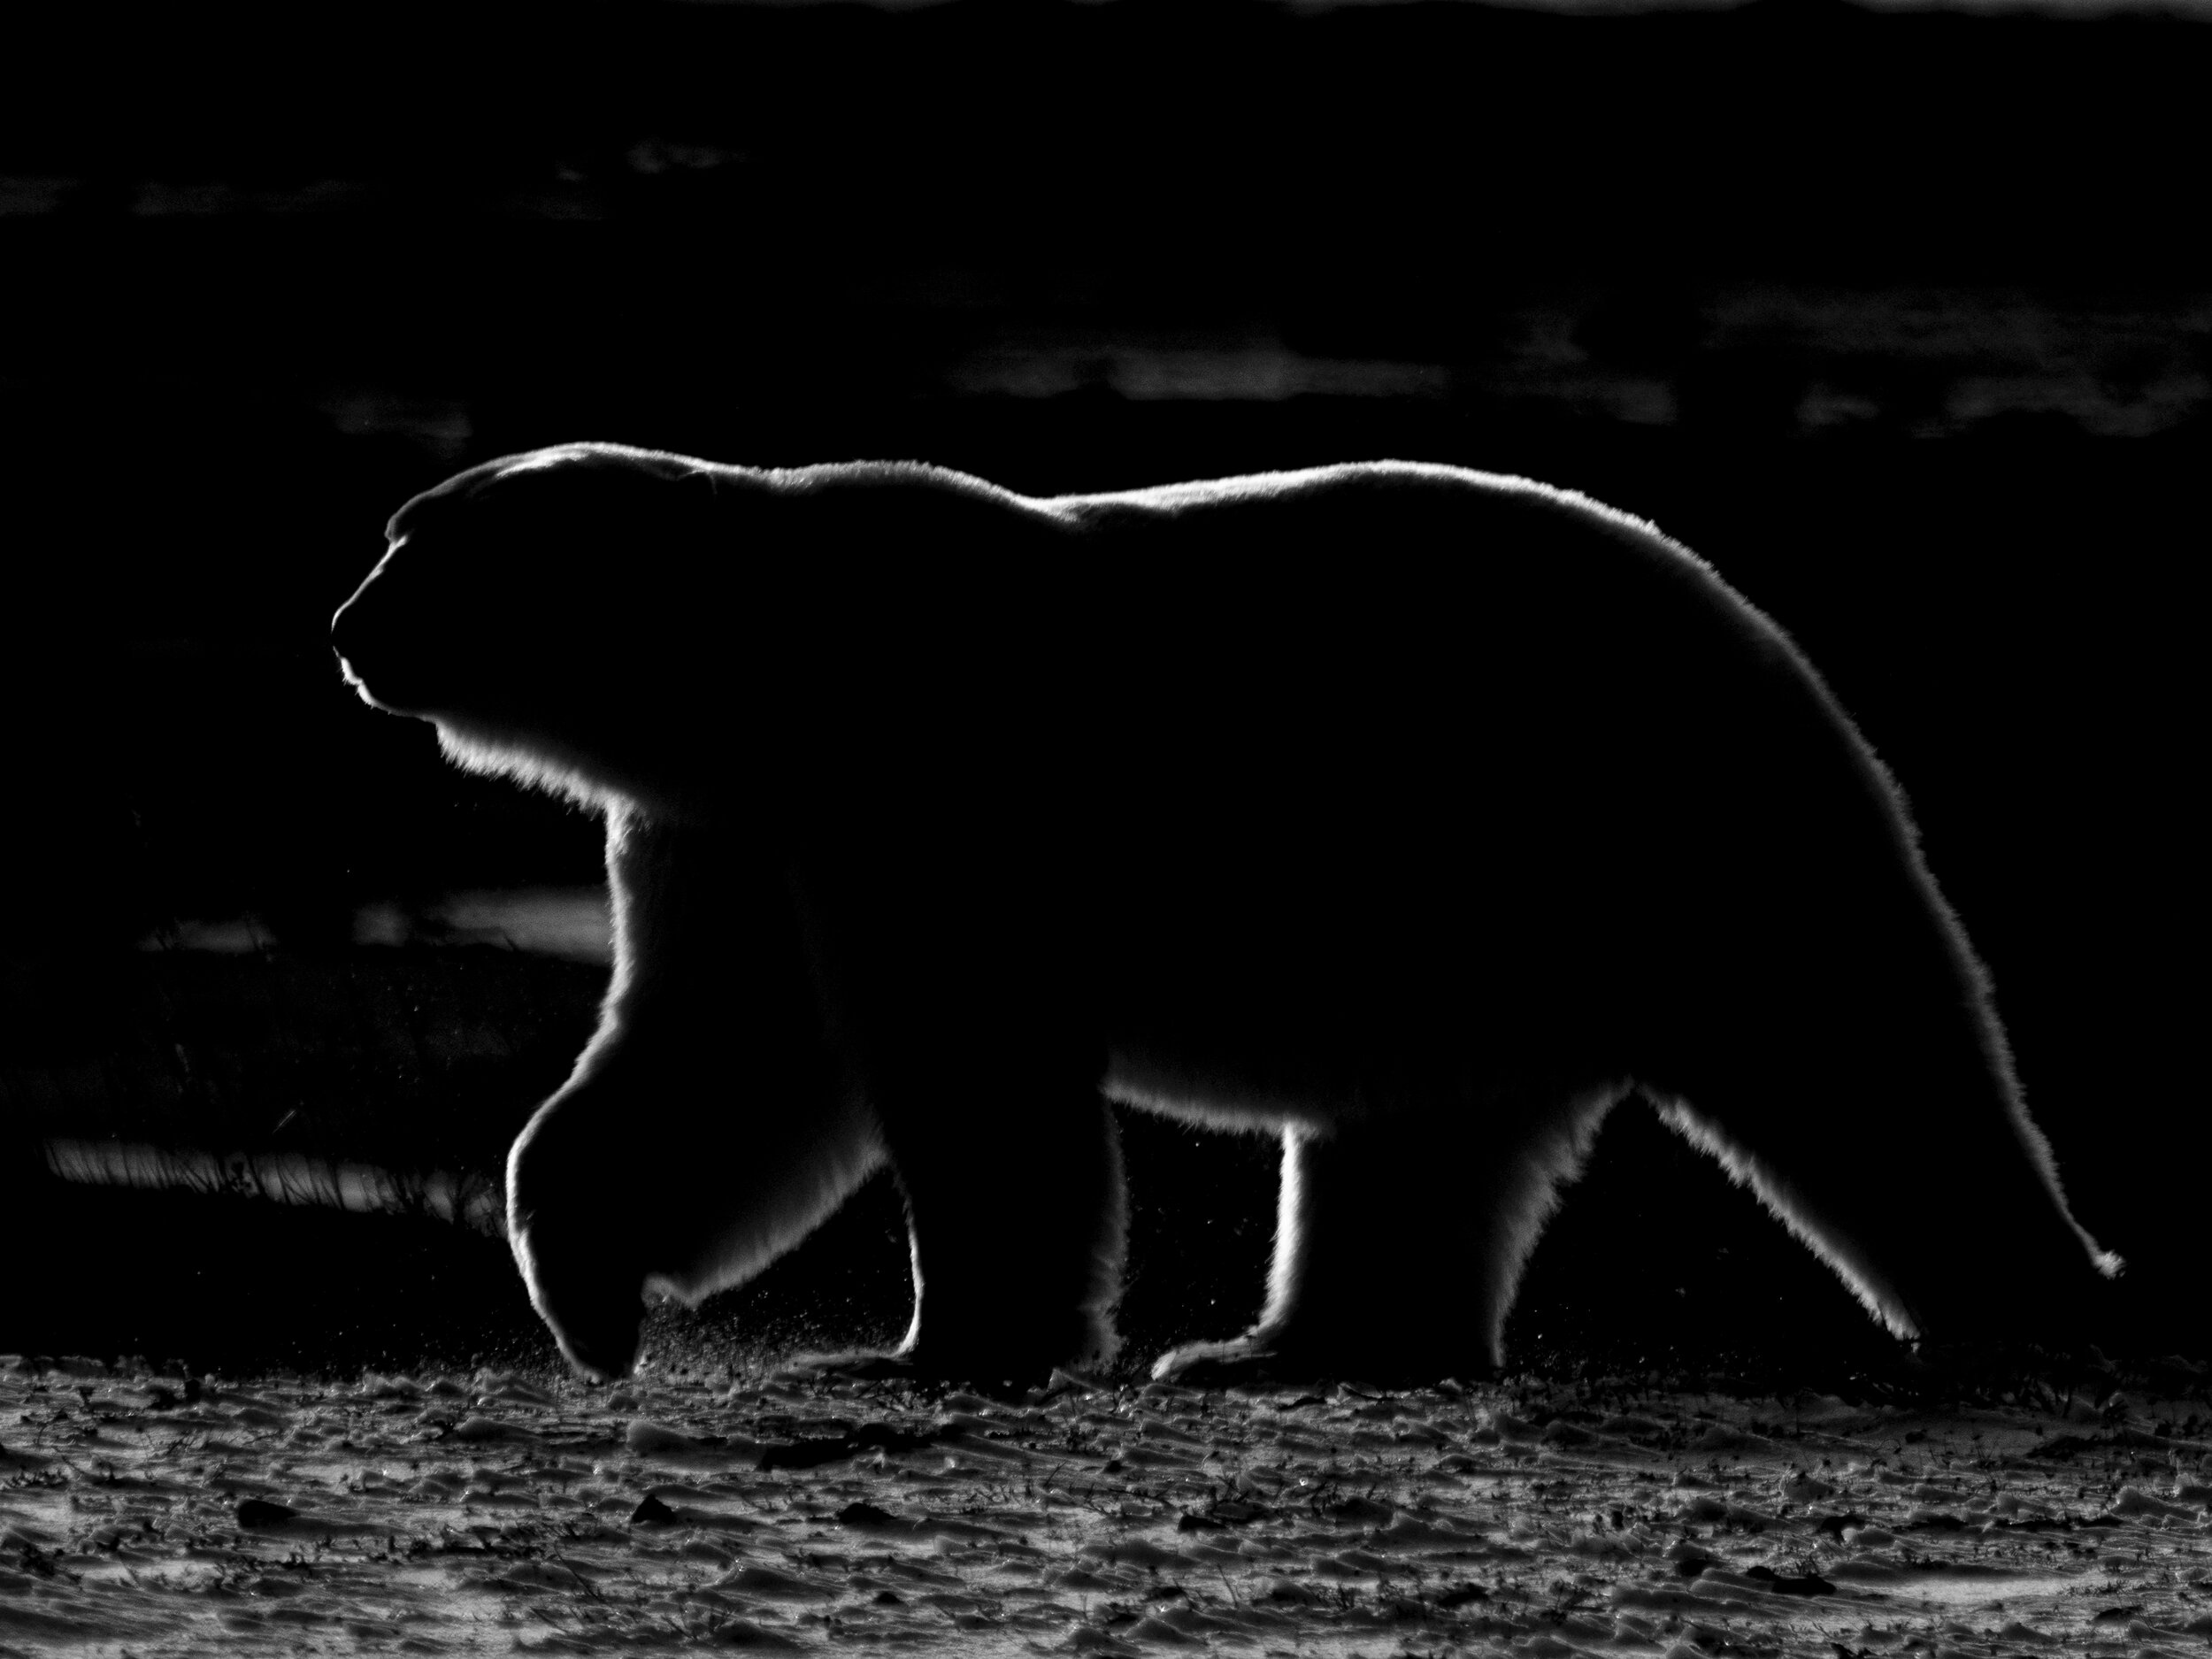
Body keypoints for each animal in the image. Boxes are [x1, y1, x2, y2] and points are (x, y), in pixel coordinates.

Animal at [331, 443, 2120, 1386]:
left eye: (414, 546)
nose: (342, 626)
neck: (772, 657)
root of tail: (1764, 631)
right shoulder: (737, 824)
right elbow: (721, 1051)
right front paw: (585, 1295)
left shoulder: (929, 769)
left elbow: (967, 1063)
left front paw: (947, 1337)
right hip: (1477, 920)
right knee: (1422, 1136)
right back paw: (1289, 1346)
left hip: (1656, 821)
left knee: (1857, 1053)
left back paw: (2030, 1303)